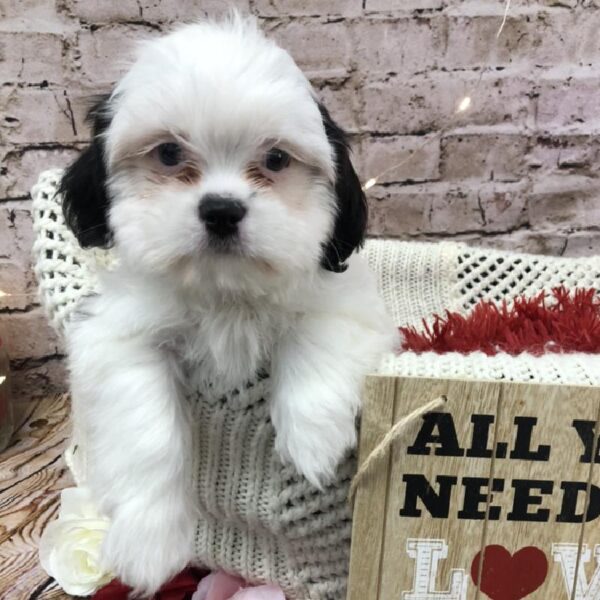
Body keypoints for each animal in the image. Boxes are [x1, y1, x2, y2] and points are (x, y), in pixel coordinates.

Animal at [59, 14, 398, 596]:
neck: (226, 292)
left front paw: (313, 445)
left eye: (276, 159)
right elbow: (147, 429)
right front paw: (149, 545)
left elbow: (318, 337)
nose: (221, 210)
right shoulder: (118, 336)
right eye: (169, 154)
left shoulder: (348, 302)